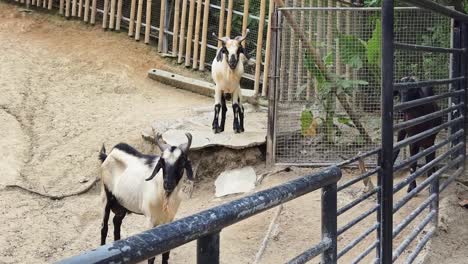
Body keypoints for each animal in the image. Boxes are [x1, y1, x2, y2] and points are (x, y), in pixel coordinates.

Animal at [98, 134, 194, 264]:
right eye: (162, 163)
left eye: (181, 162)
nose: (168, 184)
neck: (163, 196)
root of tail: (108, 155)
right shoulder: (150, 220)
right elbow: (151, 255)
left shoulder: (169, 220)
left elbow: (166, 252)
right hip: (106, 198)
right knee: (104, 228)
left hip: (122, 205)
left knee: (116, 222)